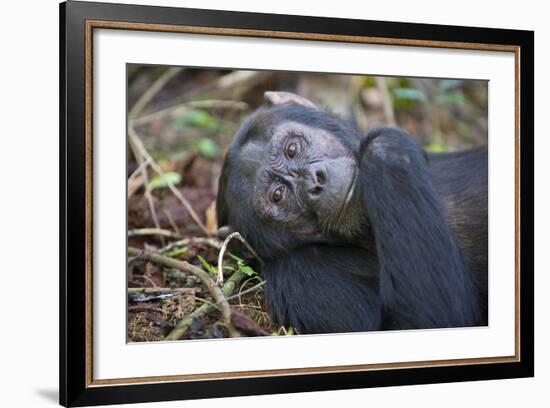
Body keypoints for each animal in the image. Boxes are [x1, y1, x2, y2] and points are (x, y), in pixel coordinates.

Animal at [218, 91, 490, 334]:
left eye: (292, 149)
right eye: (278, 195)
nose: (314, 182)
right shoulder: (301, 273)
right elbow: (424, 320)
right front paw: (384, 145)